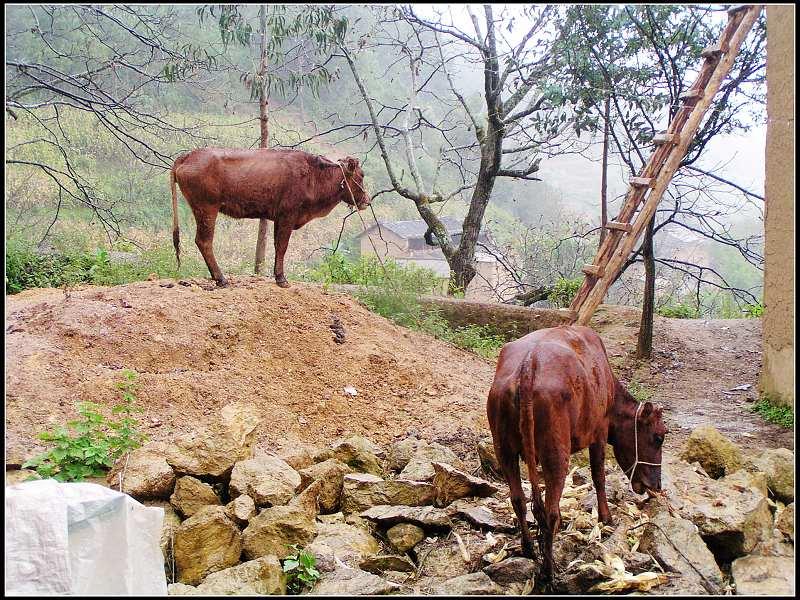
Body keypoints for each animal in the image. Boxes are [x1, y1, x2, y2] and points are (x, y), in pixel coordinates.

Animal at [172, 146, 372, 288]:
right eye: (361, 175)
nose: (367, 201)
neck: (314, 175)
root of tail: (187, 156)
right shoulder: (288, 215)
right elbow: (282, 246)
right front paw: (281, 279)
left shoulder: (279, 217)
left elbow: (277, 245)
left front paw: (277, 276)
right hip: (207, 209)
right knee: (204, 241)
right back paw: (221, 278)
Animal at [488, 326, 668, 584]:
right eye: (659, 437)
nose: (656, 485)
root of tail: (528, 364)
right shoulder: (599, 432)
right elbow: (598, 476)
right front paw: (606, 517)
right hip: (556, 454)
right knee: (549, 510)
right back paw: (548, 571)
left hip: (504, 451)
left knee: (519, 500)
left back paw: (529, 548)